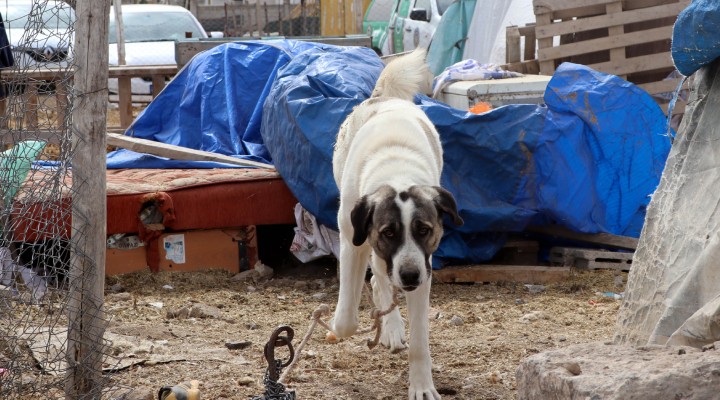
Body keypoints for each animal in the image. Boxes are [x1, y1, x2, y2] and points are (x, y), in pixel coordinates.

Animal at [330, 50, 462, 400]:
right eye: (389, 232)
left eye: (424, 230)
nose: (410, 275)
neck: (396, 172)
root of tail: (383, 96)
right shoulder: (354, 243)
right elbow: (347, 316)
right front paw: (339, 326)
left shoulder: (423, 268)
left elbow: (419, 342)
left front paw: (422, 386)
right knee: (378, 280)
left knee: (382, 281)